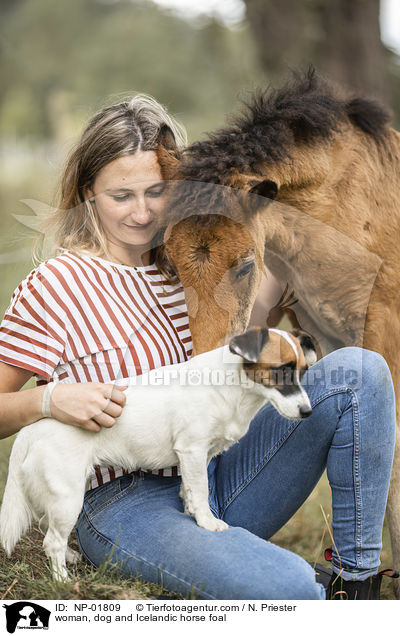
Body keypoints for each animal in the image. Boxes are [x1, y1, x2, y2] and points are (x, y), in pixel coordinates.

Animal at [0, 328, 316, 580]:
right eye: (280, 370)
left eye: (302, 372)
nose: (307, 412)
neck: (233, 385)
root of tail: (33, 428)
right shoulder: (192, 449)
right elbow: (201, 489)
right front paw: (206, 522)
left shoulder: (198, 455)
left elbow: (190, 489)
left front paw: (190, 510)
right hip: (68, 495)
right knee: (51, 540)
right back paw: (62, 581)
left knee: (48, 526)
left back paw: (68, 557)